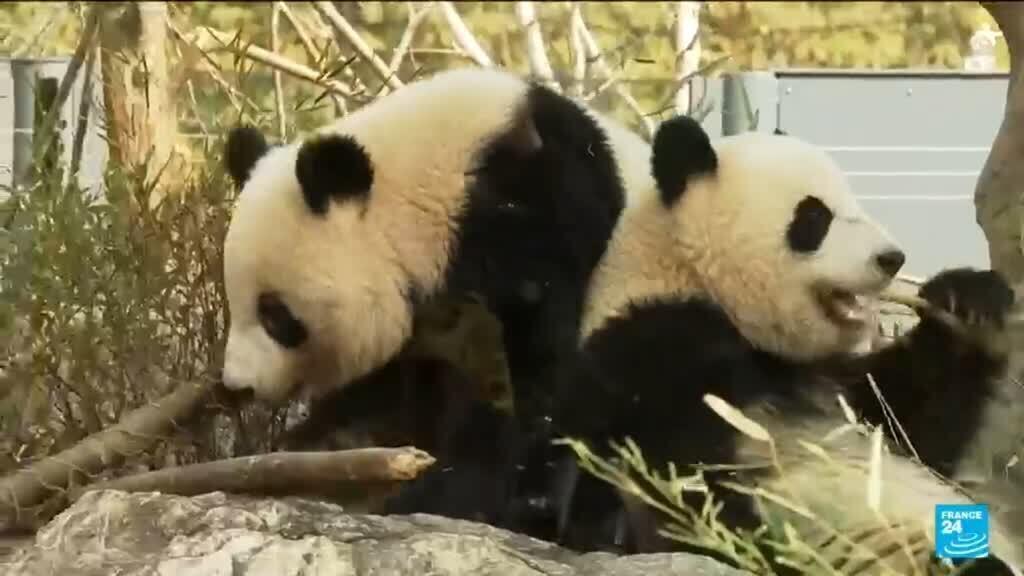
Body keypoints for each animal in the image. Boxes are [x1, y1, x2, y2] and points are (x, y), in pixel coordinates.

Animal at [218, 66, 653, 529]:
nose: (237, 387)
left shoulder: (540, 223)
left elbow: (534, 378)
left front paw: (453, 491)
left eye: (275, 315)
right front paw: (325, 445)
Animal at [546, 114, 1024, 574]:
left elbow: (910, 422)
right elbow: (686, 478)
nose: (892, 258)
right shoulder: (655, 348)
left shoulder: (827, 380)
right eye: (815, 217)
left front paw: (967, 301)